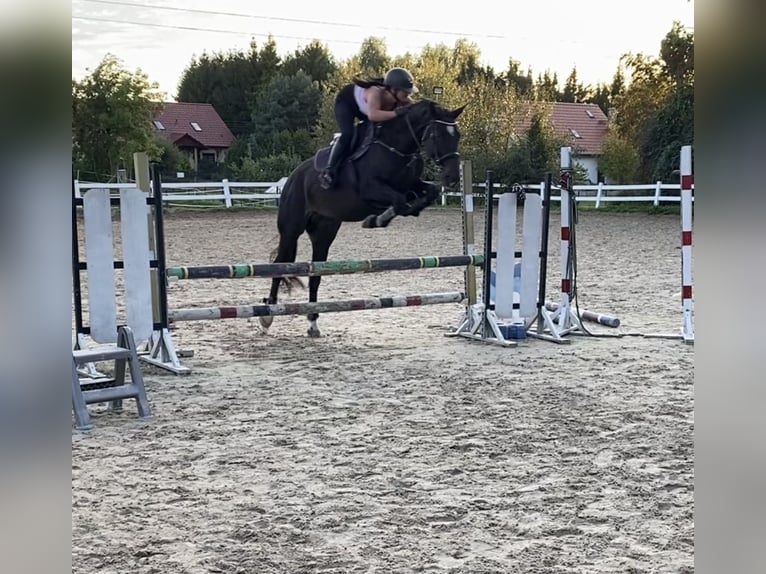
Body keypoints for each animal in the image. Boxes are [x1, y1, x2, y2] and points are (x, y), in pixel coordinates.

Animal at [259, 98, 466, 337]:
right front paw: (377, 219)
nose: (452, 177)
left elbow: (426, 193)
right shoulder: (370, 190)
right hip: (291, 231)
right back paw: (267, 317)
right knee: (279, 266)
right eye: (436, 135)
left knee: (315, 275)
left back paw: (312, 323)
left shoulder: (411, 185)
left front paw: (397, 213)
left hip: (324, 233)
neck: (397, 148)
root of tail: (292, 178)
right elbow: (399, 202)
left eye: (457, 135)